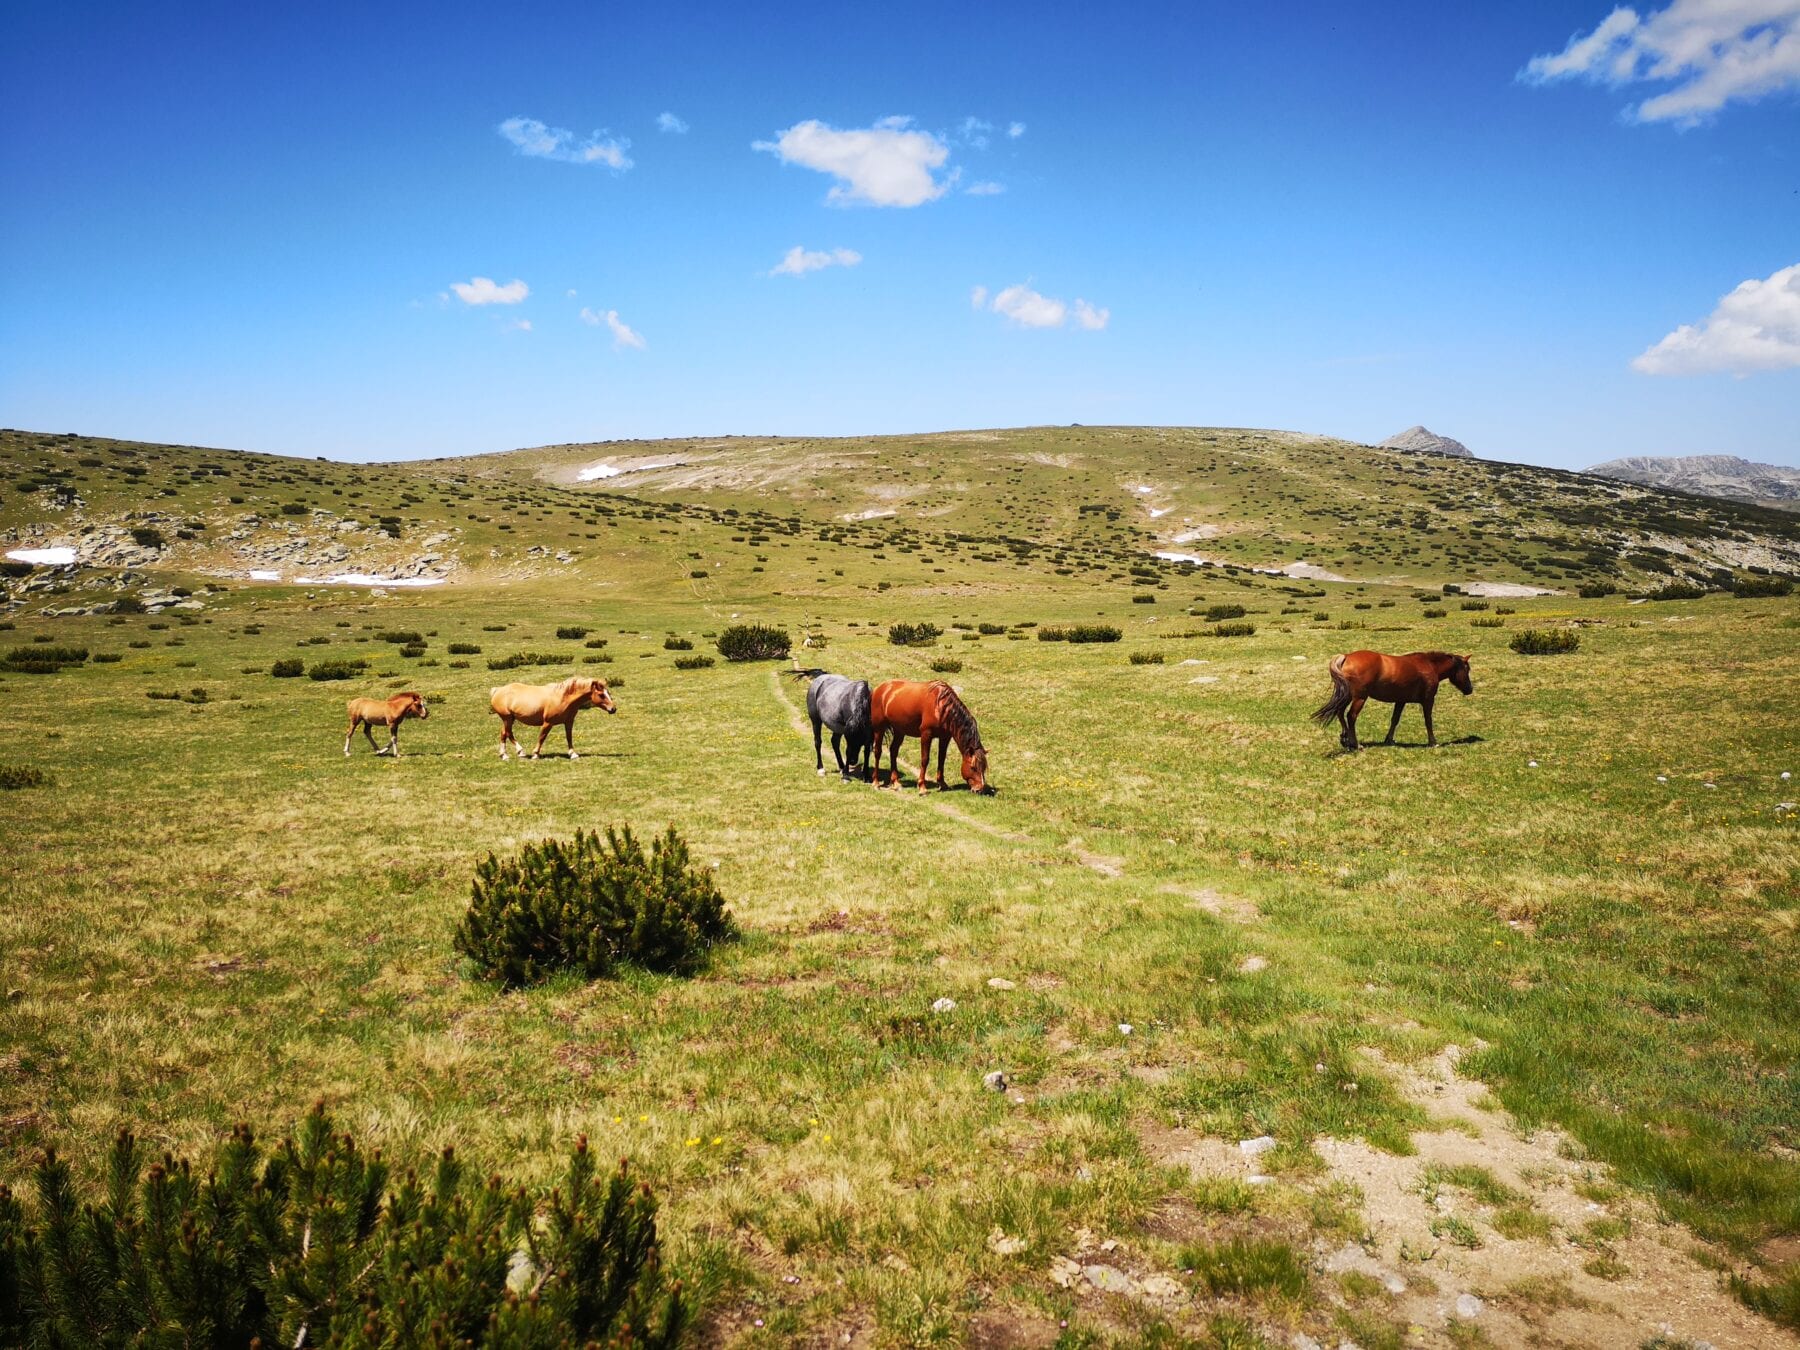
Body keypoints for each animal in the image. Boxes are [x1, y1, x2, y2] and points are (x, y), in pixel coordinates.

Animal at [1317, 651, 1468, 752]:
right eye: (1467, 669)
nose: (1469, 689)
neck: (1428, 665)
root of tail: (1347, 656)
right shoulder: (1428, 700)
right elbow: (1428, 721)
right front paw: (1433, 742)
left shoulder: (1401, 701)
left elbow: (1395, 719)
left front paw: (1389, 740)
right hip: (1360, 698)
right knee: (1351, 716)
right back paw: (1356, 744)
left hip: (1347, 696)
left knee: (1340, 712)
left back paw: (1345, 740)